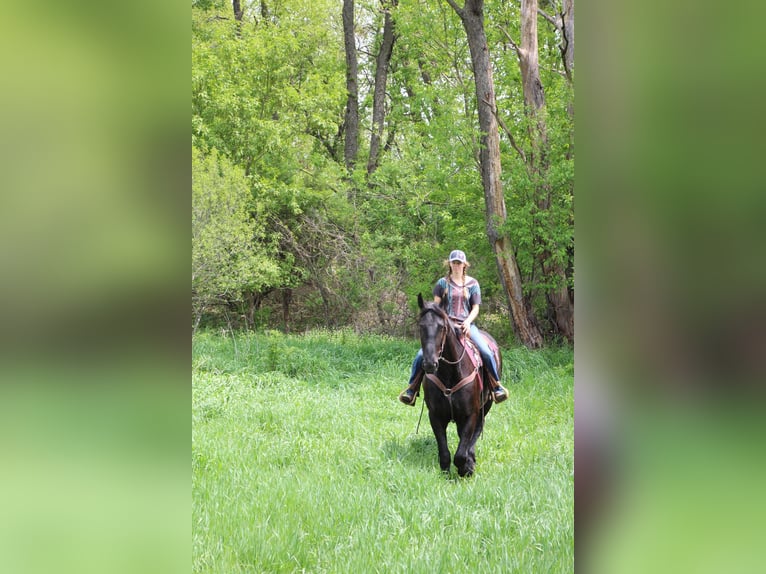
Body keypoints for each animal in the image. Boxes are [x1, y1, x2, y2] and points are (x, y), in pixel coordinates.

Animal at [416, 294, 500, 480]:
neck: (450, 375)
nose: (430, 364)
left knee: (477, 431)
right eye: (421, 326)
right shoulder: (435, 416)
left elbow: (461, 453)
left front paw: (466, 468)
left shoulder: (471, 414)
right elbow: (444, 451)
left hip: (486, 405)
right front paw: (446, 473)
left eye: (442, 327)